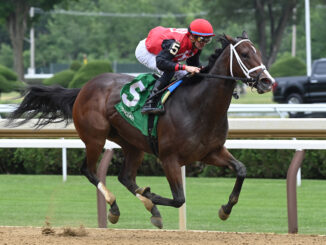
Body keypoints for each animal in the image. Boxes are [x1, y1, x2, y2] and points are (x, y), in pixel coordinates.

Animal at [8, 31, 276, 229]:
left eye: (259, 53)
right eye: (244, 54)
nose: (267, 82)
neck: (199, 106)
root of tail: (83, 87)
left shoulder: (211, 152)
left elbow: (241, 170)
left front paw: (225, 209)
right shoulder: (169, 159)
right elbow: (179, 199)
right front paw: (150, 194)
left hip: (132, 144)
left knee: (126, 177)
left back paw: (150, 209)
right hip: (95, 138)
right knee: (90, 170)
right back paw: (116, 207)